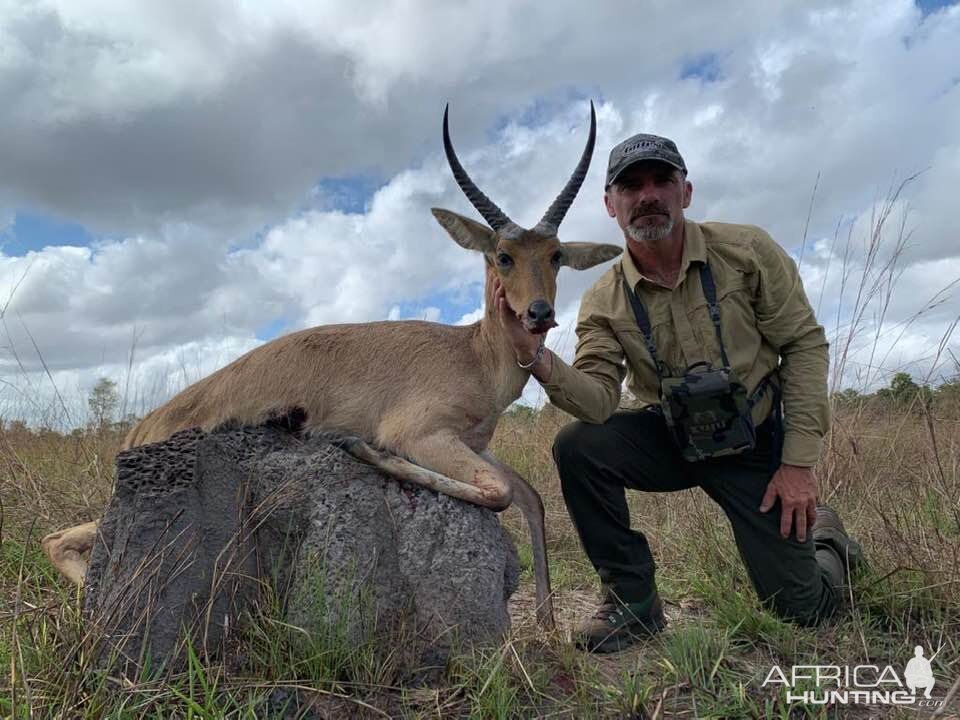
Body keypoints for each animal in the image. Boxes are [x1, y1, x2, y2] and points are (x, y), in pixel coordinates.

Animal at [41, 102, 624, 632]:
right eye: (503, 255)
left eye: (555, 256)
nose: (539, 313)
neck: (472, 354)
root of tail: (139, 428)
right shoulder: (421, 433)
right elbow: (499, 493)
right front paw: (362, 448)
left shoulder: (473, 444)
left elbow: (531, 497)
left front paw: (548, 624)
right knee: (56, 539)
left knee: (58, 539)